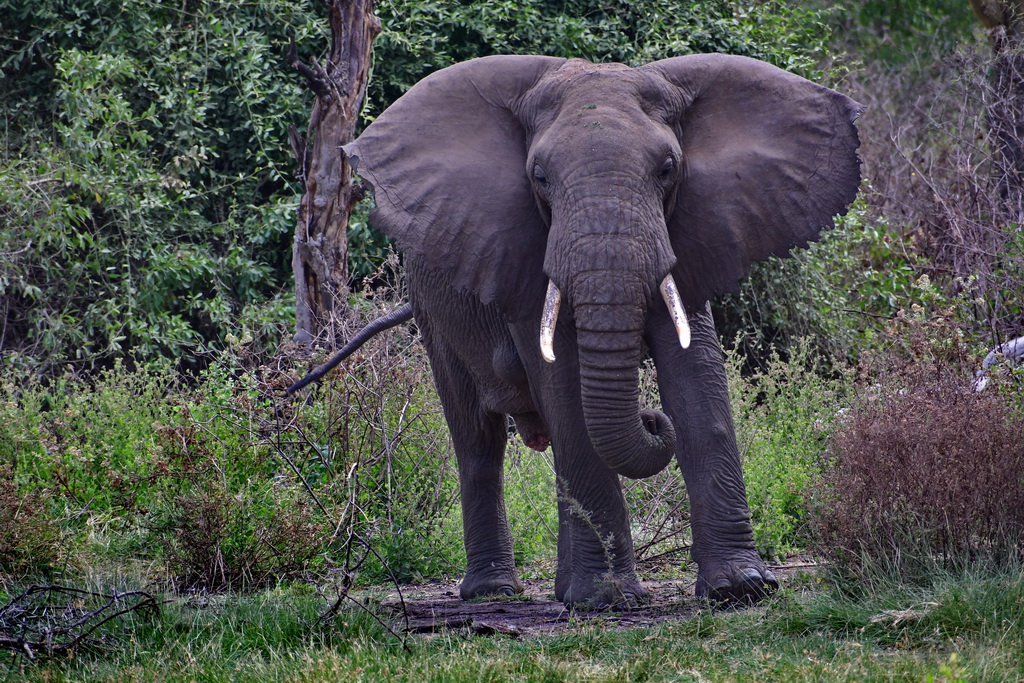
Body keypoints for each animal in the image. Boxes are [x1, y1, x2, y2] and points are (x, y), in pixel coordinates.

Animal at [292, 53, 860, 610]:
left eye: (668, 169)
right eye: (540, 177)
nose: (651, 418)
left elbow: (697, 377)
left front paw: (742, 588)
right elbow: (564, 385)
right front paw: (610, 599)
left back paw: (566, 592)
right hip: (434, 311)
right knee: (478, 440)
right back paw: (498, 592)